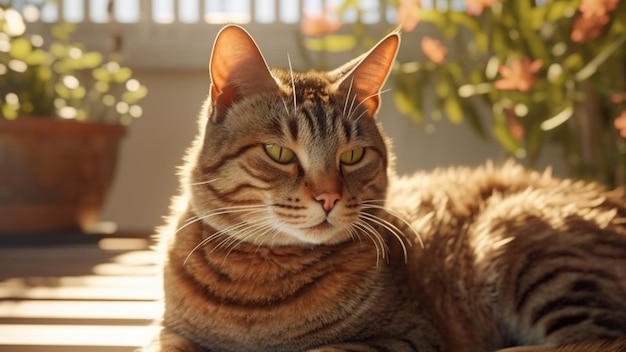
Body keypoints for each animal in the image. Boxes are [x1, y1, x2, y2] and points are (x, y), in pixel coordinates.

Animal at [144, 25, 624, 352]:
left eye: (353, 156)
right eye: (280, 153)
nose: (329, 198)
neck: (258, 281)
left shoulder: (409, 338)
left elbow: (326, 350)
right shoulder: (167, 333)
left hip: (526, 243)